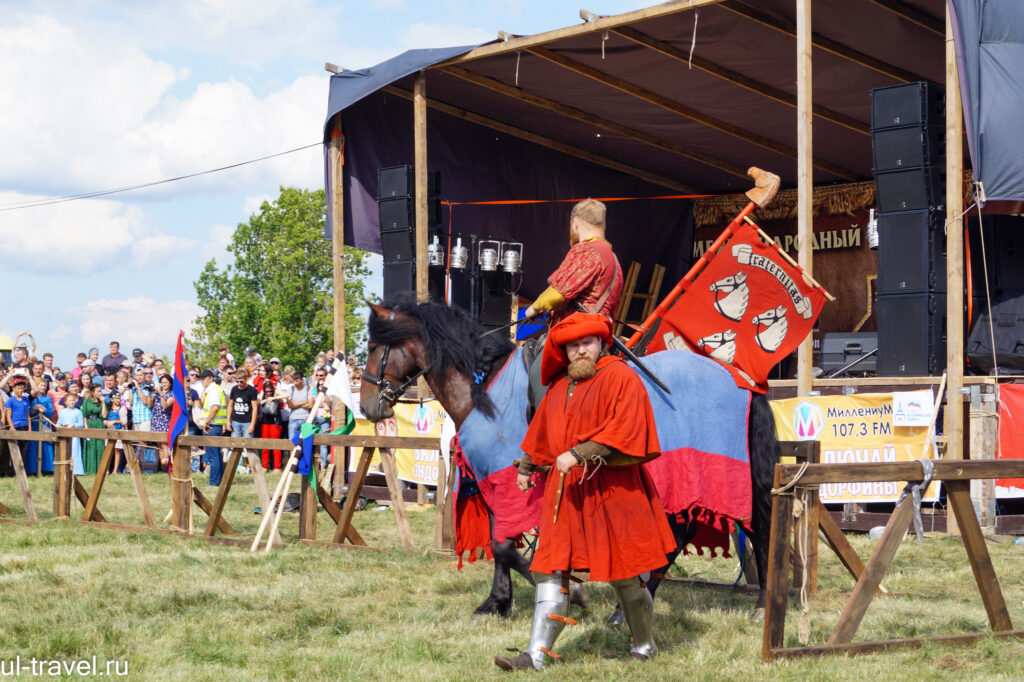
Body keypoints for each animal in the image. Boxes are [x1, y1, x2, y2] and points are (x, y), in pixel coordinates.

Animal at [358, 294, 774, 618]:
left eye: (375, 349)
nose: (367, 407)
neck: (484, 389)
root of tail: (741, 381)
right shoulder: (496, 479)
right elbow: (500, 541)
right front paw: (497, 602)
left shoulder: (508, 478)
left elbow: (505, 546)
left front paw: (569, 591)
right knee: (684, 533)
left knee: (756, 524)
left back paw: (760, 606)